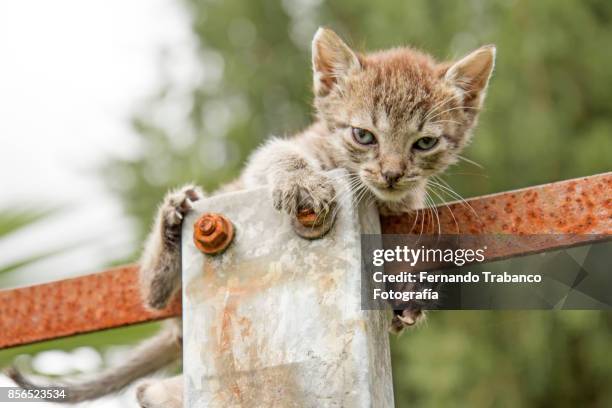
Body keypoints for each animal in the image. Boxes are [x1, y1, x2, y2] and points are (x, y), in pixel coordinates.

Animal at [7, 28, 494, 408]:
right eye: (363, 135)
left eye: (425, 143)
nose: (392, 173)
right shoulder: (273, 158)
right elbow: (280, 156)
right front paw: (304, 181)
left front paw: (407, 294)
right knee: (151, 295)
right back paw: (170, 229)